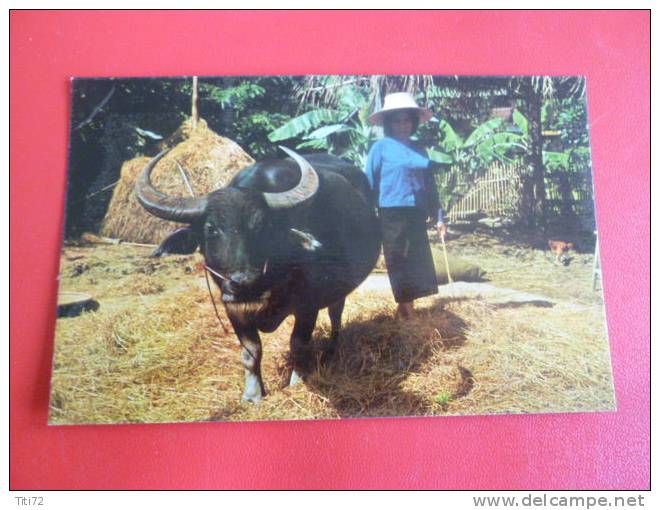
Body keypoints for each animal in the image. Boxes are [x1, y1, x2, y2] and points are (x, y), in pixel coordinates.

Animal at [135, 147, 382, 402]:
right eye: (211, 229)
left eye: (264, 227)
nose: (245, 283)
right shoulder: (233, 308)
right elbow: (251, 352)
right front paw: (253, 394)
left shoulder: (307, 304)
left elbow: (299, 344)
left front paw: (295, 382)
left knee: (336, 315)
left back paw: (331, 350)